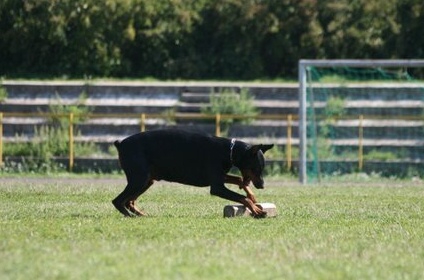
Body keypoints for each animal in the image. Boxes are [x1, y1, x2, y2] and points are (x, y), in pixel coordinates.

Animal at [112, 130, 274, 219]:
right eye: (256, 169)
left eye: (262, 169)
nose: (262, 186)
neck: (229, 151)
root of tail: (120, 144)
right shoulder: (217, 187)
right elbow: (242, 198)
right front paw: (257, 210)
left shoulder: (220, 176)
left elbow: (239, 179)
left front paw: (252, 196)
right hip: (140, 179)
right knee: (118, 201)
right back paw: (130, 216)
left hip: (146, 180)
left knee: (129, 201)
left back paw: (140, 214)